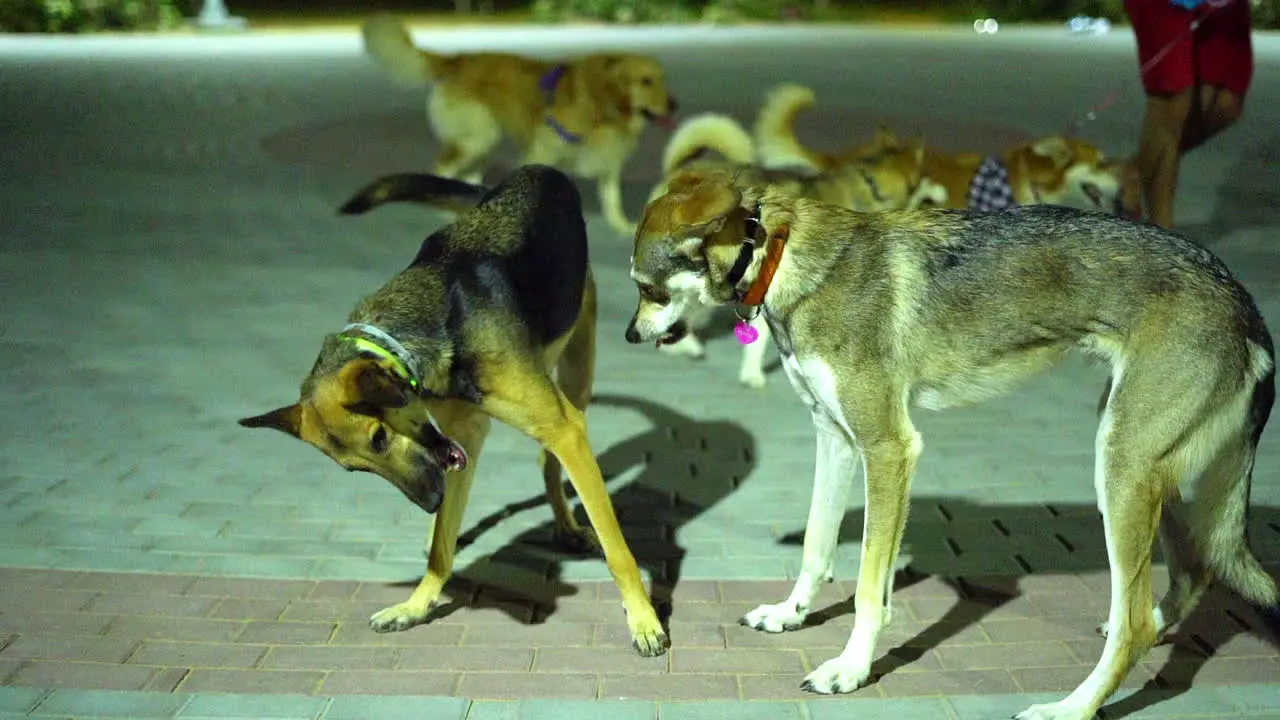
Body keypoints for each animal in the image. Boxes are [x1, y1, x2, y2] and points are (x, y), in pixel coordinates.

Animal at [239, 162, 670, 655]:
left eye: (379, 438)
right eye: (354, 468)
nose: (430, 502)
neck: (432, 330)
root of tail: (530, 172)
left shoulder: (562, 428)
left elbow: (618, 550)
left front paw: (643, 617)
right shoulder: (463, 441)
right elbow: (439, 552)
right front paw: (416, 604)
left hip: (577, 378)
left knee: (549, 462)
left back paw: (567, 526)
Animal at [619, 170, 1269, 712]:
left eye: (647, 289)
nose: (627, 335)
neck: (780, 255)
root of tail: (1241, 296)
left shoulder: (888, 449)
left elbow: (867, 590)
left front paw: (851, 669)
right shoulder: (835, 439)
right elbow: (815, 547)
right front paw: (791, 614)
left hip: (1122, 469)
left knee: (1137, 622)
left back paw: (1070, 706)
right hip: (1136, 465)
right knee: (1189, 575)